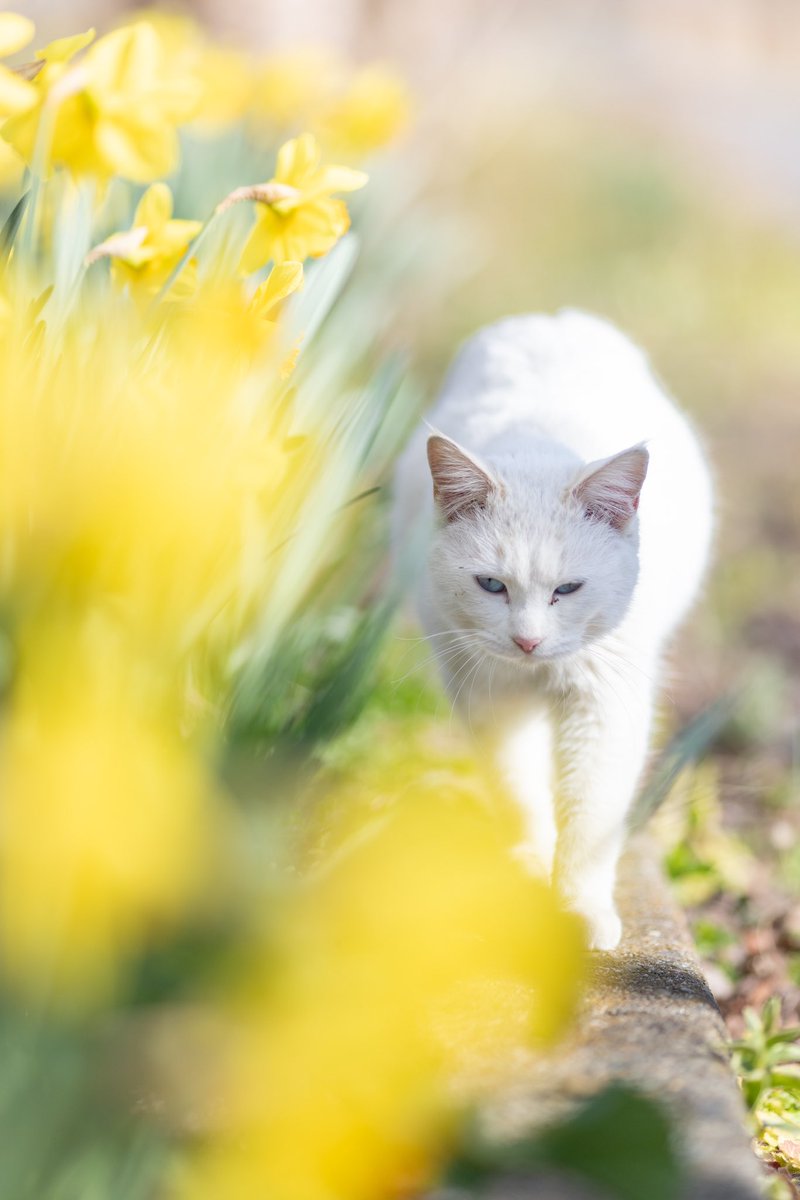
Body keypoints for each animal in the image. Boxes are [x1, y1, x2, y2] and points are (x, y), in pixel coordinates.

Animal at [393, 309, 714, 945]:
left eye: (568, 590)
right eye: (492, 586)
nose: (527, 641)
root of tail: (551, 320)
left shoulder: (603, 705)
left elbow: (590, 817)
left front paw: (579, 907)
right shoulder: (487, 695)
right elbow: (517, 789)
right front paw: (528, 869)